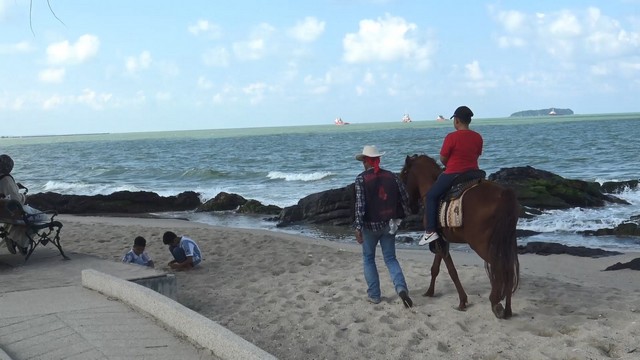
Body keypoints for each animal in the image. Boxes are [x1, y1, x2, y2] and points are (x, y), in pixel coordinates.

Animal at [400, 154, 520, 318]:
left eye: (404, 174)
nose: (410, 206)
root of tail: (503, 194)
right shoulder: (441, 240)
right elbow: (435, 268)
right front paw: (430, 292)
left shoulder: (439, 242)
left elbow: (452, 271)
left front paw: (462, 300)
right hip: (506, 241)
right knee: (508, 268)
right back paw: (507, 309)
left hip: (481, 244)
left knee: (500, 267)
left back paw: (495, 302)